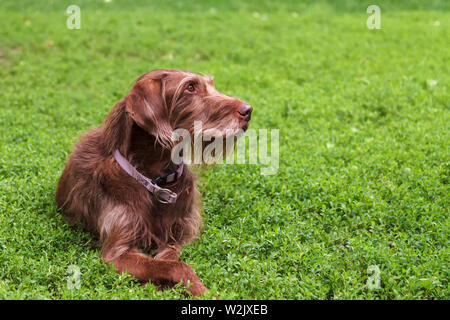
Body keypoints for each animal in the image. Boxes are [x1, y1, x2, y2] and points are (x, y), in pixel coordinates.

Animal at [55, 69, 251, 296]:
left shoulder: (179, 233)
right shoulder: (116, 253)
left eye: (211, 85)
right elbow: (176, 266)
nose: (248, 110)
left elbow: (169, 258)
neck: (157, 179)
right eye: (190, 87)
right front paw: (202, 291)